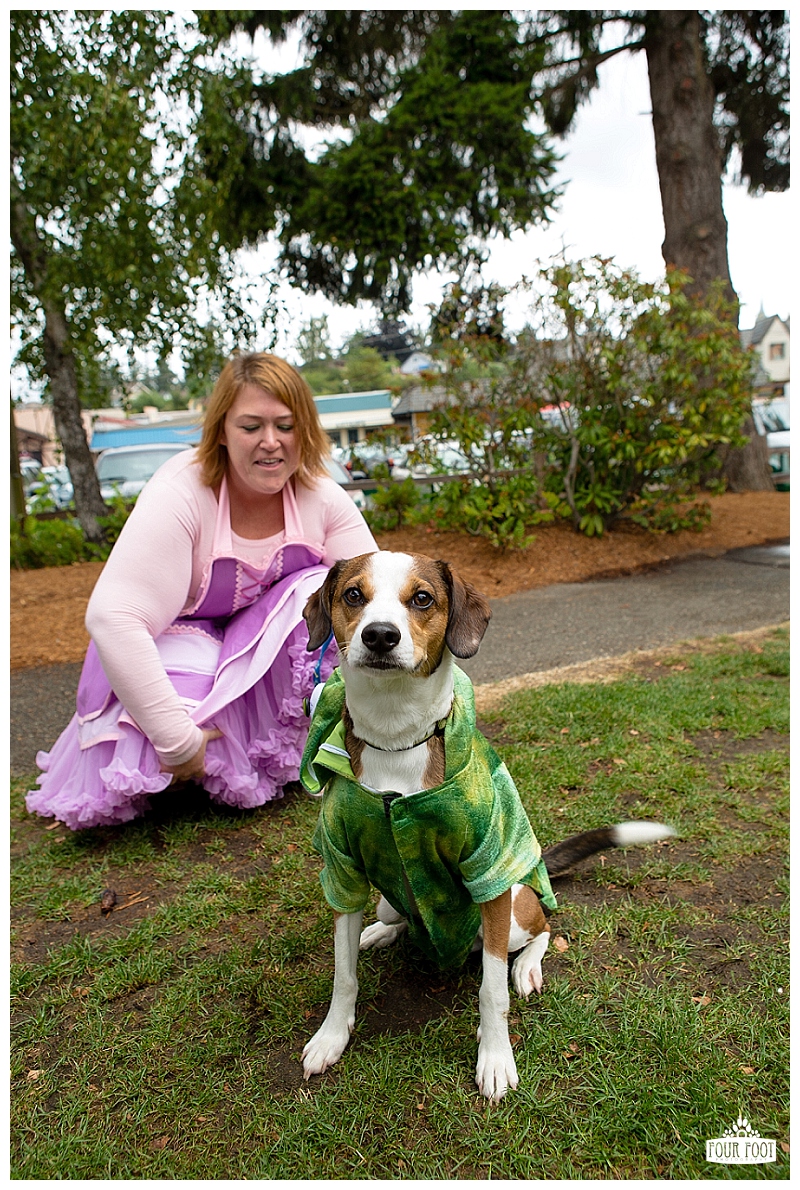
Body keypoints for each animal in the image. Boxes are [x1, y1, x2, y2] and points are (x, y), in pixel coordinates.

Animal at [298, 550, 675, 1100]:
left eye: (422, 598)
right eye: (353, 594)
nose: (380, 636)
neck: (397, 736)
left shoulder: (488, 874)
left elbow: (491, 991)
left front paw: (495, 1057)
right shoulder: (344, 873)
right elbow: (343, 975)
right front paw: (331, 1037)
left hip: (514, 907)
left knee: (544, 926)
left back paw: (528, 967)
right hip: (390, 899)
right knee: (397, 919)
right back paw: (380, 933)